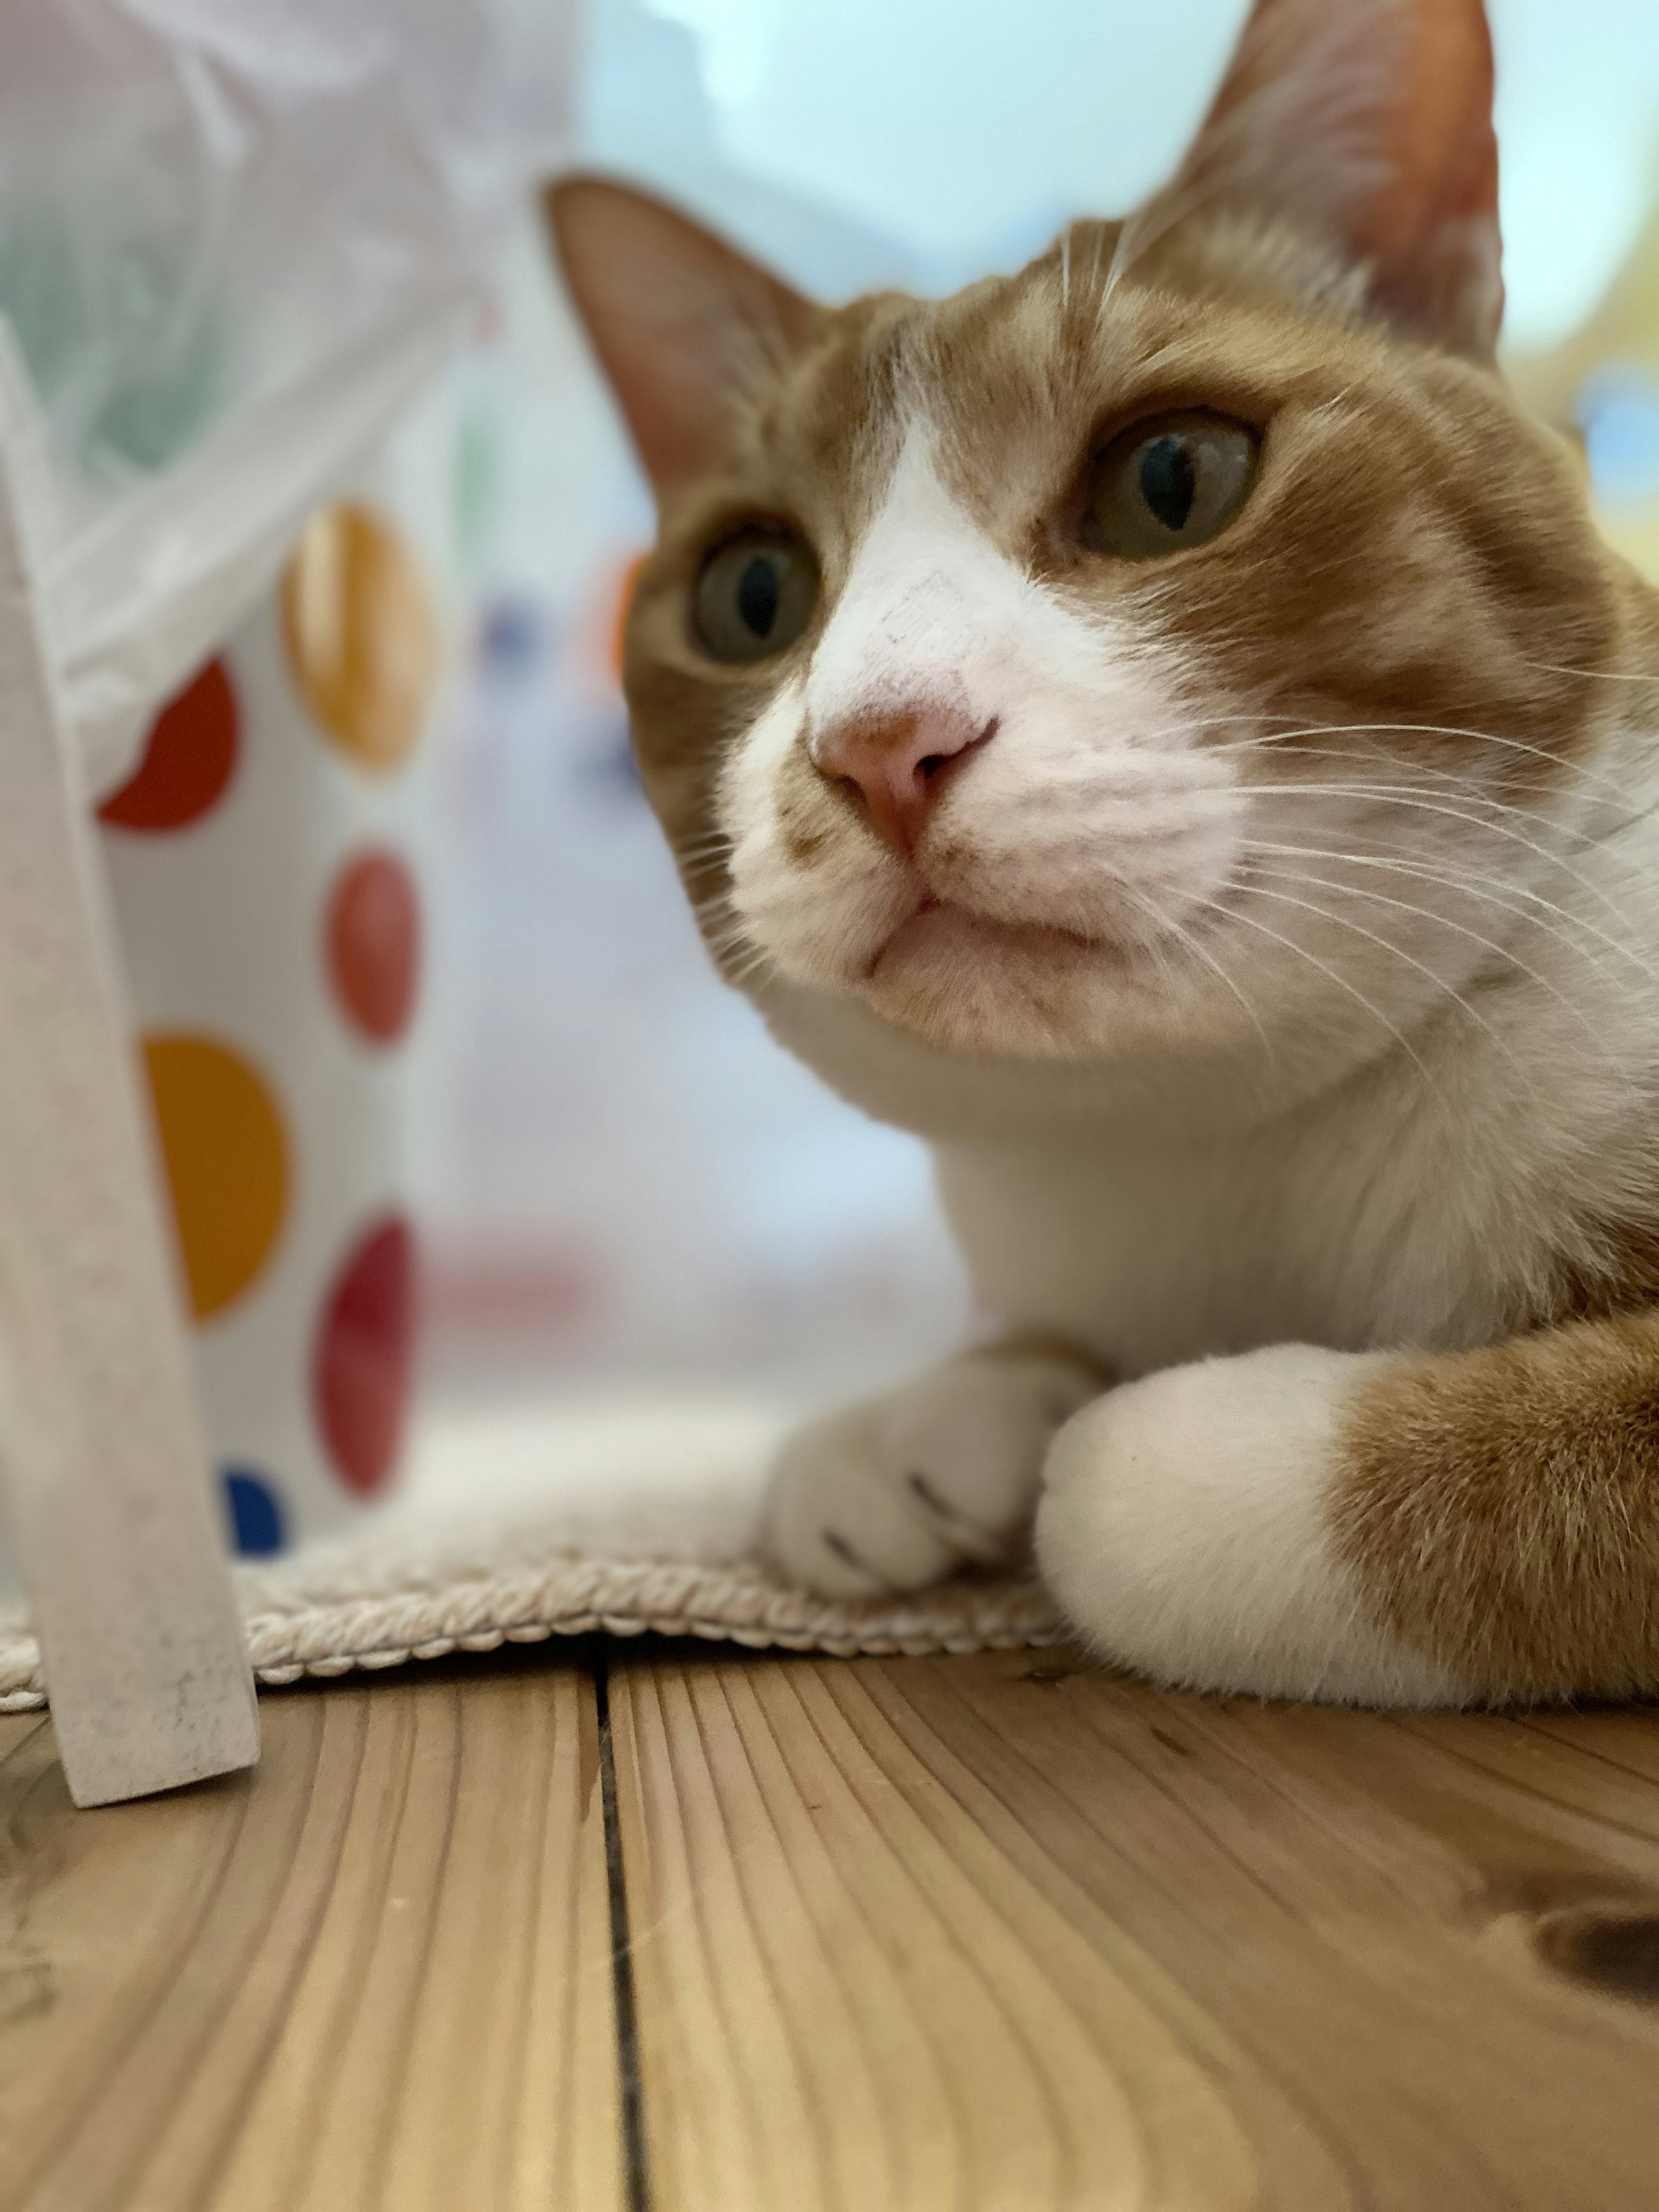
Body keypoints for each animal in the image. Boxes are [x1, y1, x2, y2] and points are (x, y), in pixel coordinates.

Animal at [548, 0, 1659, 1707]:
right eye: (752, 593)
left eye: (1169, 479)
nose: (881, 740)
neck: (1235, 1149)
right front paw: (933, 1407)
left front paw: (1134, 1454)